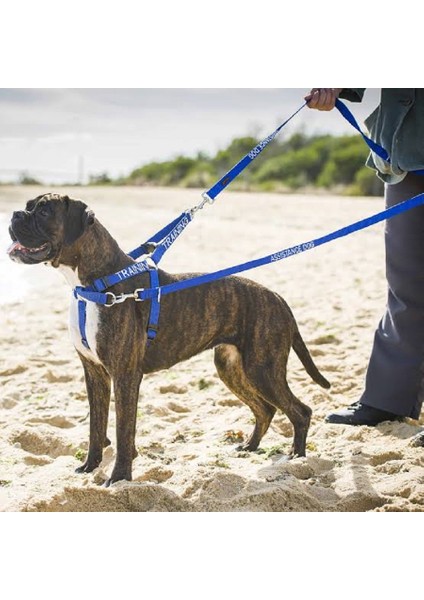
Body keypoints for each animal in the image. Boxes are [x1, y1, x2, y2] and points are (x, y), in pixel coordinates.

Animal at [8, 195, 330, 486]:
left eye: (44, 211)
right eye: (27, 206)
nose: (13, 214)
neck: (97, 283)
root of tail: (277, 297)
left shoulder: (125, 375)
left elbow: (123, 430)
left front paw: (119, 478)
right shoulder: (95, 374)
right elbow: (96, 427)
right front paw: (91, 466)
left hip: (263, 369)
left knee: (300, 411)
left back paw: (297, 458)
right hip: (232, 369)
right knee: (266, 409)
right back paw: (250, 446)